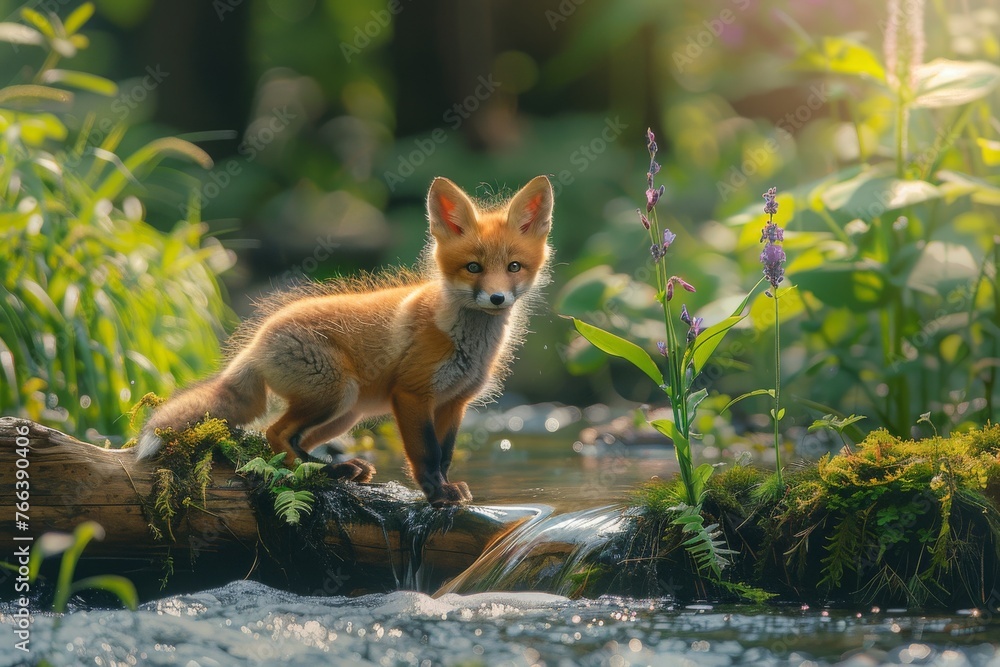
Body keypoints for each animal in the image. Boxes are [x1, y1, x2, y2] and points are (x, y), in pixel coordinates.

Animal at [136, 175, 553, 507]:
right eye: (473, 268)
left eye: (514, 267)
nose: (497, 298)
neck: (464, 340)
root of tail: (256, 341)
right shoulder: (412, 394)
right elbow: (427, 454)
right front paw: (436, 495)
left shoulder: (454, 402)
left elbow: (446, 453)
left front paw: (447, 489)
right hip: (335, 394)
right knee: (274, 435)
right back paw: (323, 473)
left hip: (345, 411)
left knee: (292, 440)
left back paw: (333, 470)